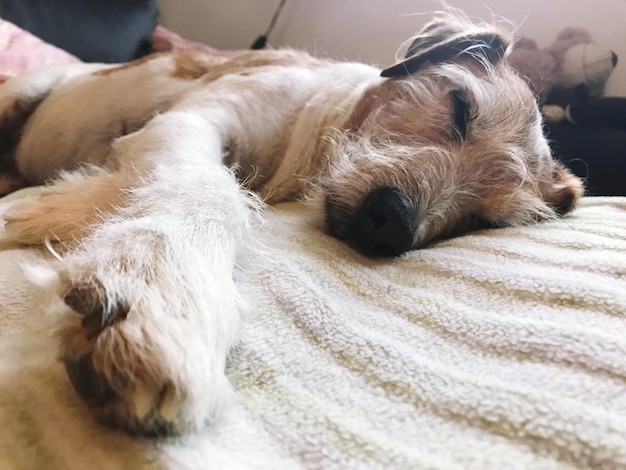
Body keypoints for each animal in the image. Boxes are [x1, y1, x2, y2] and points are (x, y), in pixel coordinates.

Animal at [0, 12, 580, 436]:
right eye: (461, 107)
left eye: (483, 219)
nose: (392, 223)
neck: (304, 147)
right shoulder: (196, 119)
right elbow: (213, 187)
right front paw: (161, 288)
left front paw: (56, 203)